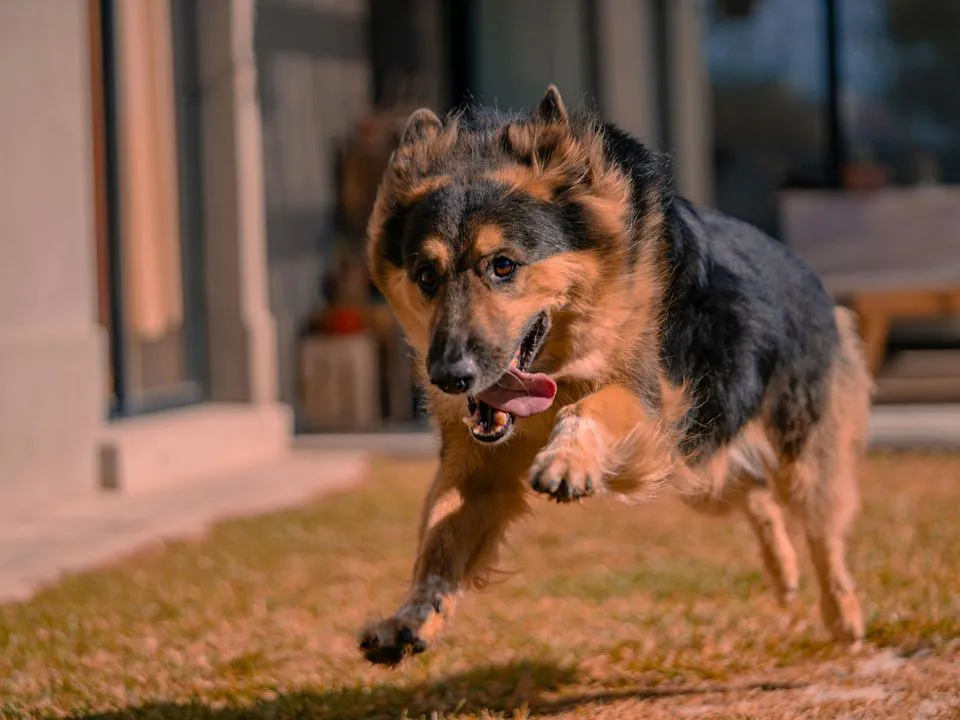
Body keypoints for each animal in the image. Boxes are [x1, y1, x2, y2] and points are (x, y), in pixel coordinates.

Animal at [356, 86, 872, 668]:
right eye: (426, 276)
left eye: (503, 266)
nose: (449, 377)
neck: (562, 365)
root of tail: (813, 277)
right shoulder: (479, 466)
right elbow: (438, 543)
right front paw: (411, 618)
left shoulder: (649, 409)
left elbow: (594, 406)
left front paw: (567, 460)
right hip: (699, 463)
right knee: (753, 492)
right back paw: (783, 573)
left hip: (790, 456)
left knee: (822, 532)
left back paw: (843, 614)